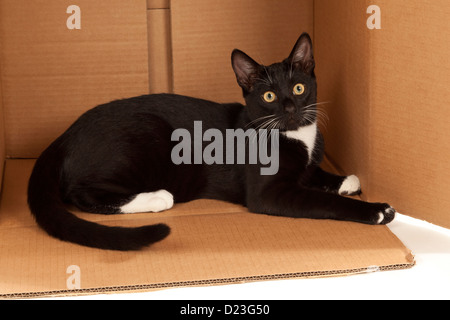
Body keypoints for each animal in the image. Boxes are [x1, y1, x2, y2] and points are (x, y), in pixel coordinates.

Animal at [27, 33, 394, 251]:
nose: (290, 108)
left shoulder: (306, 164)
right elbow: (323, 201)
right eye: (269, 96)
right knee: (82, 194)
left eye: (299, 88)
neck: (294, 134)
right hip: (146, 139)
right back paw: (157, 197)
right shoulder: (269, 193)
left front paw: (345, 179)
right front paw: (376, 209)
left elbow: (315, 173)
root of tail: (64, 136)